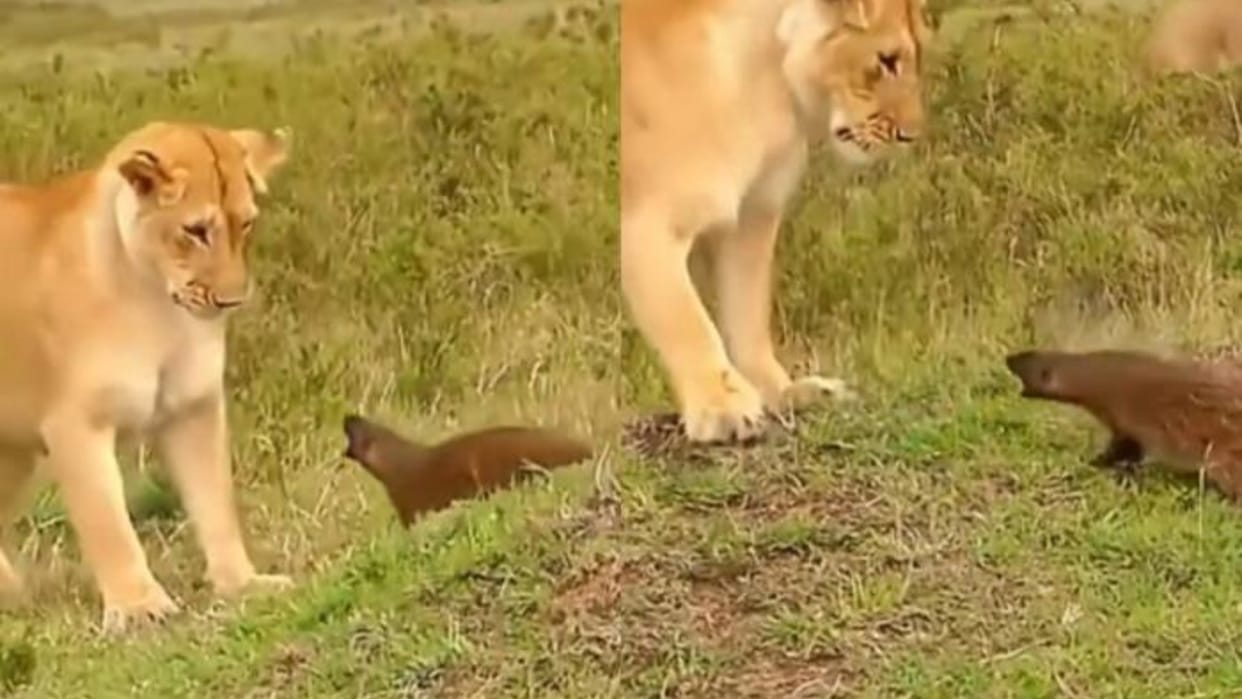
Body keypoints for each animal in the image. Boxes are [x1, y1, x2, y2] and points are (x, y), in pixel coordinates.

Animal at [0, 121, 291, 633]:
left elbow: (216, 502)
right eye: (195, 231)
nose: (233, 301)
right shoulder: (76, 424)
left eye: (246, 223)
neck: (159, 307)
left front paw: (243, 584)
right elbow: (108, 524)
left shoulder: (193, 410)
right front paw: (139, 608)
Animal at [621, 0, 931, 442]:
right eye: (887, 60)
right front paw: (722, 408)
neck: (765, 78)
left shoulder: (752, 215)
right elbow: (685, 319)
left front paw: (785, 391)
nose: (911, 135)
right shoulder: (654, 220)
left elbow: (747, 311)